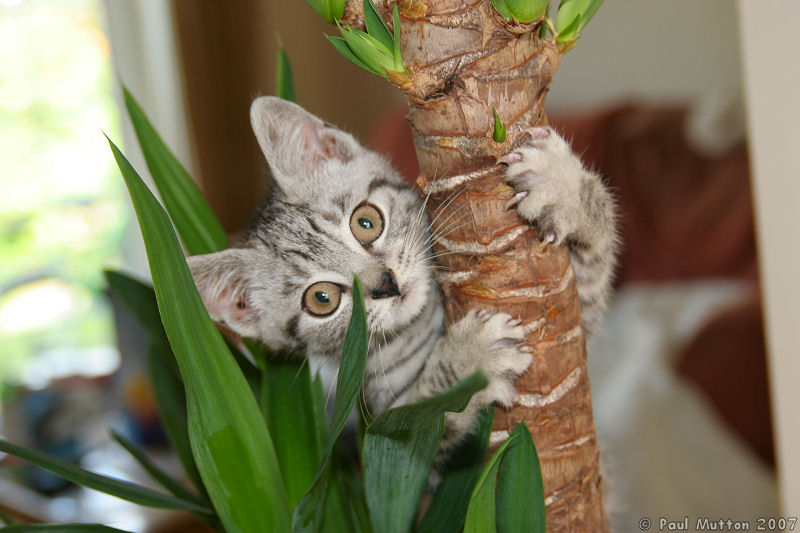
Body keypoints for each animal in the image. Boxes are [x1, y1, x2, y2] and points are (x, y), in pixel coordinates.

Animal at [189, 97, 620, 450]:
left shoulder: (566, 333)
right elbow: (423, 416)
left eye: (366, 222)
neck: (424, 323)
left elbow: (591, 269)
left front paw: (559, 183)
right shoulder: (399, 451)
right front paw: (470, 360)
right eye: (321, 299)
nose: (386, 284)